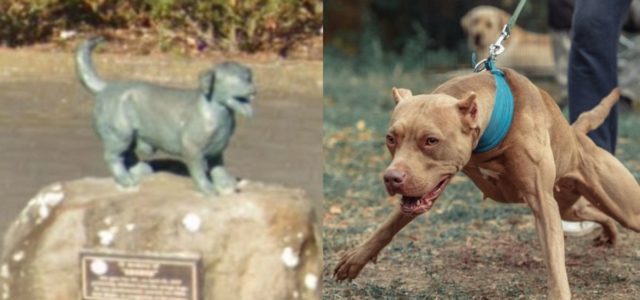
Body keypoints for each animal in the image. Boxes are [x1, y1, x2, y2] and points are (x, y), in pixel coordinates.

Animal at [336, 67, 640, 298]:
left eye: (431, 140)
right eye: (390, 139)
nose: (392, 178)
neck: (493, 130)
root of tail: (575, 135)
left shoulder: (543, 204)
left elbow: (555, 262)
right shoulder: (421, 188)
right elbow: (389, 225)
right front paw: (357, 258)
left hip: (625, 208)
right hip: (568, 205)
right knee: (593, 211)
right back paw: (609, 232)